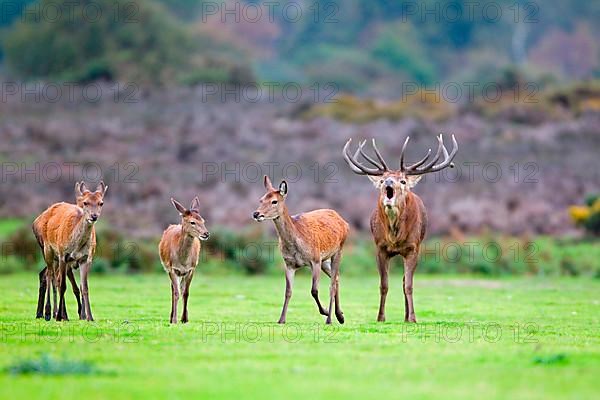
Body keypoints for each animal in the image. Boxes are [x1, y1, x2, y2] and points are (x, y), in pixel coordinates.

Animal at [31, 181, 107, 322]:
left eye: (101, 203)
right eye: (85, 202)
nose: (94, 216)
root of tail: (35, 221)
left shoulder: (85, 259)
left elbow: (84, 287)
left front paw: (89, 317)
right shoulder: (63, 256)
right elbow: (63, 285)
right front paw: (59, 316)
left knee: (46, 274)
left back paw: (43, 313)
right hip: (47, 249)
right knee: (50, 275)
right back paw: (49, 313)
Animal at [252, 176, 346, 324]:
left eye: (274, 201)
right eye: (261, 200)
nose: (256, 214)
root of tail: (343, 220)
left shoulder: (315, 260)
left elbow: (314, 290)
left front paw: (324, 311)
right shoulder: (289, 264)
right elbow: (288, 291)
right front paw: (281, 319)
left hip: (338, 250)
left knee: (332, 284)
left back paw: (330, 319)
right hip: (325, 260)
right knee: (336, 277)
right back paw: (340, 316)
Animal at [342, 134, 460, 322]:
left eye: (403, 180)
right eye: (382, 180)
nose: (389, 182)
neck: (395, 236)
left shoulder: (413, 248)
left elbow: (409, 285)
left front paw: (412, 318)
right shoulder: (380, 247)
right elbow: (384, 284)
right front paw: (380, 317)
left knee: (405, 281)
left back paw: (406, 316)